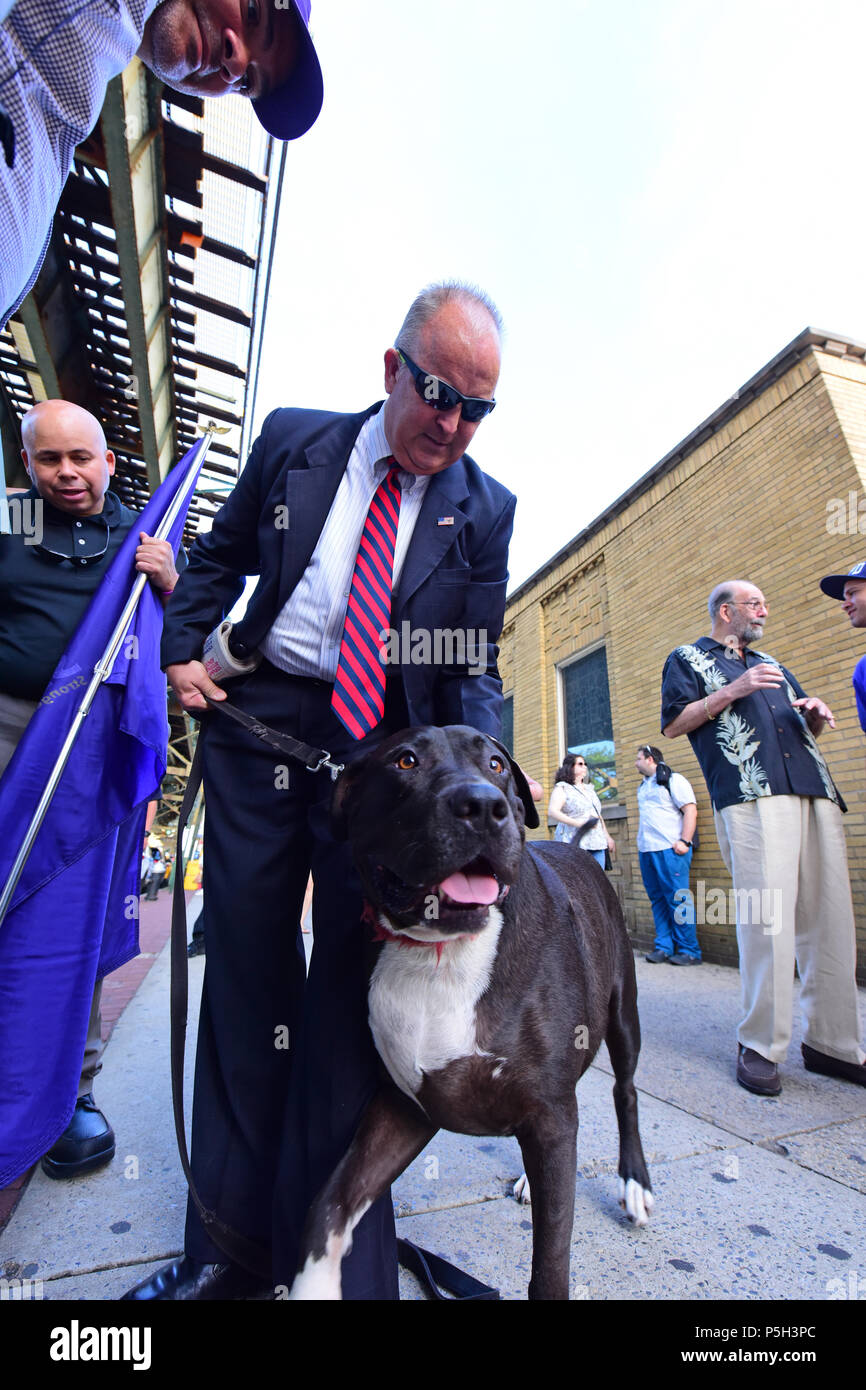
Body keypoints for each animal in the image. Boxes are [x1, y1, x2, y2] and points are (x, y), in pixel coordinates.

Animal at [287, 722, 653, 1295]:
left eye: (497, 765)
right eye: (405, 761)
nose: (483, 806)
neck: (441, 951)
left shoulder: (548, 1113)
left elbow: (551, 1263)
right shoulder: (405, 1107)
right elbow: (330, 1204)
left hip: (622, 1014)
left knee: (626, 1090)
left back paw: (634, 1182)